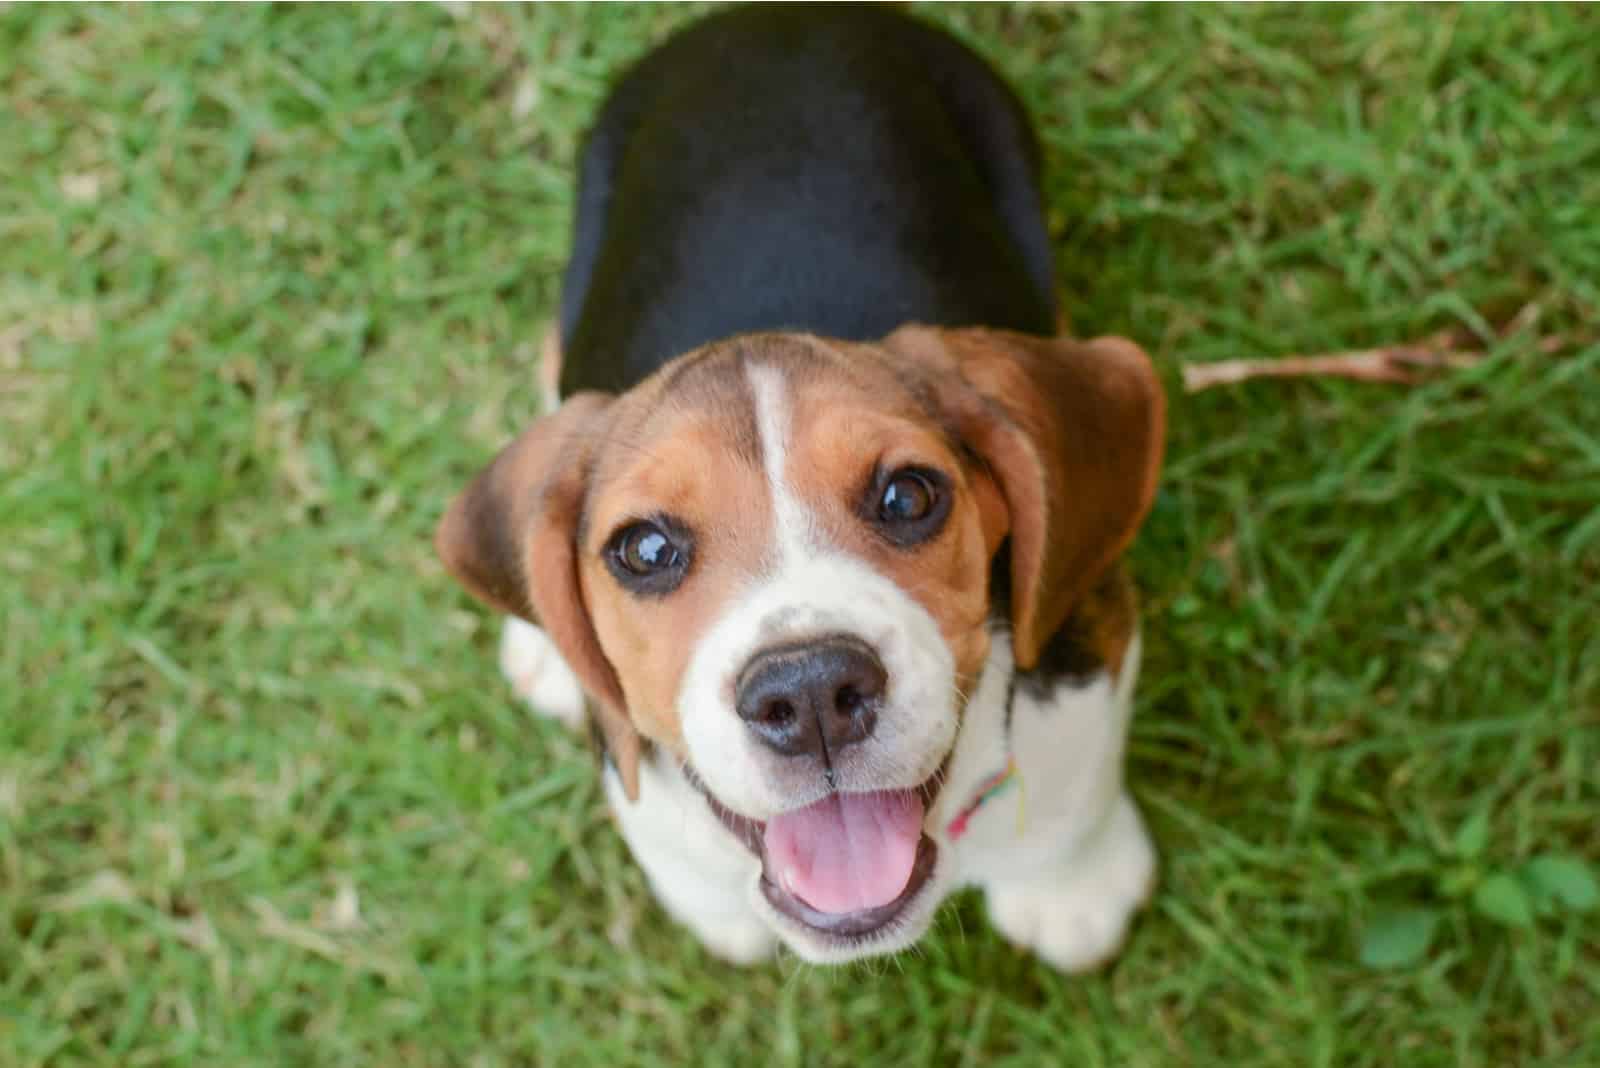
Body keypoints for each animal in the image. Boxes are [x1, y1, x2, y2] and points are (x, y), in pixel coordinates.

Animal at [435, 6, 1164, 965]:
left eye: (908, 497)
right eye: (646, 549)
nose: (812, 691)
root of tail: (771, 17)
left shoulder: (1089, 639)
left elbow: (1076, 789)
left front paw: (1072, 890)